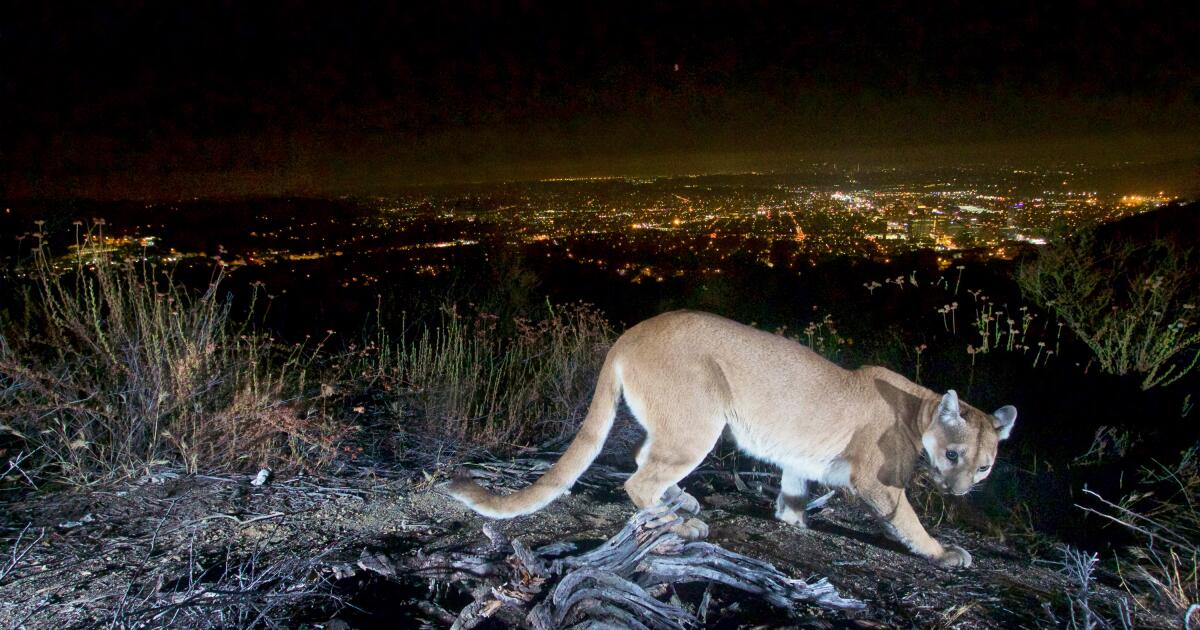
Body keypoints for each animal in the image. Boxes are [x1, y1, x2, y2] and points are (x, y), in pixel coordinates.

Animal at [446, 312, 1017, 566]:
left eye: (984, 465)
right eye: (953, 454)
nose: (960, 490)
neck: (919, 408)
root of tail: (630, 333)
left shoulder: (799, 458)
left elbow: (793, 491)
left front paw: (793, 520)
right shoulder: (877, 480)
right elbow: (907, 519)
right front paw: (942, 552)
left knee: (643, 458)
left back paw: (681, 501)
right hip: (701, 421)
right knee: (639, 478)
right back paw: (682, 521)